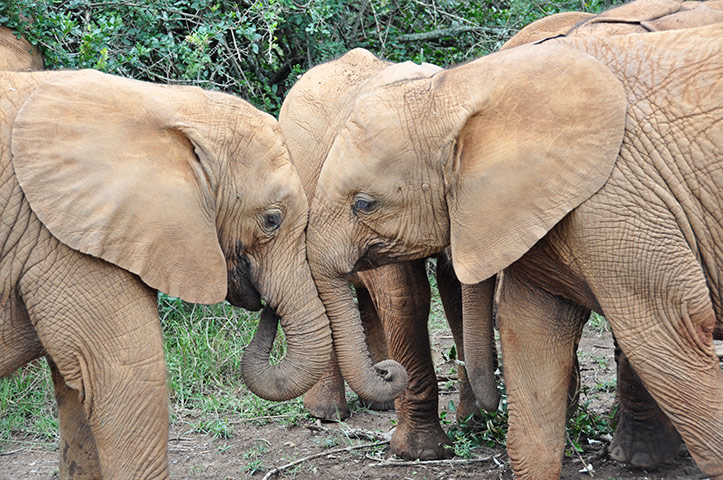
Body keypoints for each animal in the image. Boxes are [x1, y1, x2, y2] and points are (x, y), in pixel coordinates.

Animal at [0, 69, 332, 479]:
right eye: (272, 220)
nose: (269, 305)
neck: (161, 102)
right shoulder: (64, 239)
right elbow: (125, 378)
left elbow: (78, 394)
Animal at [279, 48, 493, 460]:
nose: (386, 373)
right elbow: (406, 296)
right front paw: (421, 453)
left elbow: (454, 291)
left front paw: (472, 423)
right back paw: (327, 414)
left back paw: (377, 403)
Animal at [305, 22, 723, 480]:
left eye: (363, 204)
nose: (385, 370)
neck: (462, 89)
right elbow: (531, 332)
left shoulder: (619, 201)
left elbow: (665, 335)